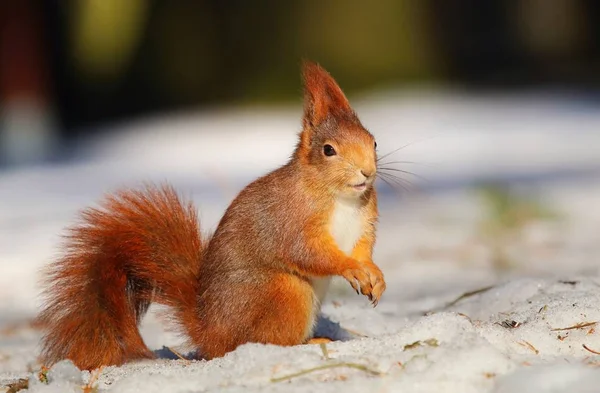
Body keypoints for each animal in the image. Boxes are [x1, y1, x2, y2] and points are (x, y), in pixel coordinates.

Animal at [37, 60, 386, 368]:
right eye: (328, 150)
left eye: (374, 142)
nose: (367, 173)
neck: (340, 197)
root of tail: (209, 332)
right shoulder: (291, 220)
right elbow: (309, 253)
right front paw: (350, 268)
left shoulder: (364, 223)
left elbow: (363, 249)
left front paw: (374, 275)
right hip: (285, 292)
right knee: (263, 340)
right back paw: (310, 343)